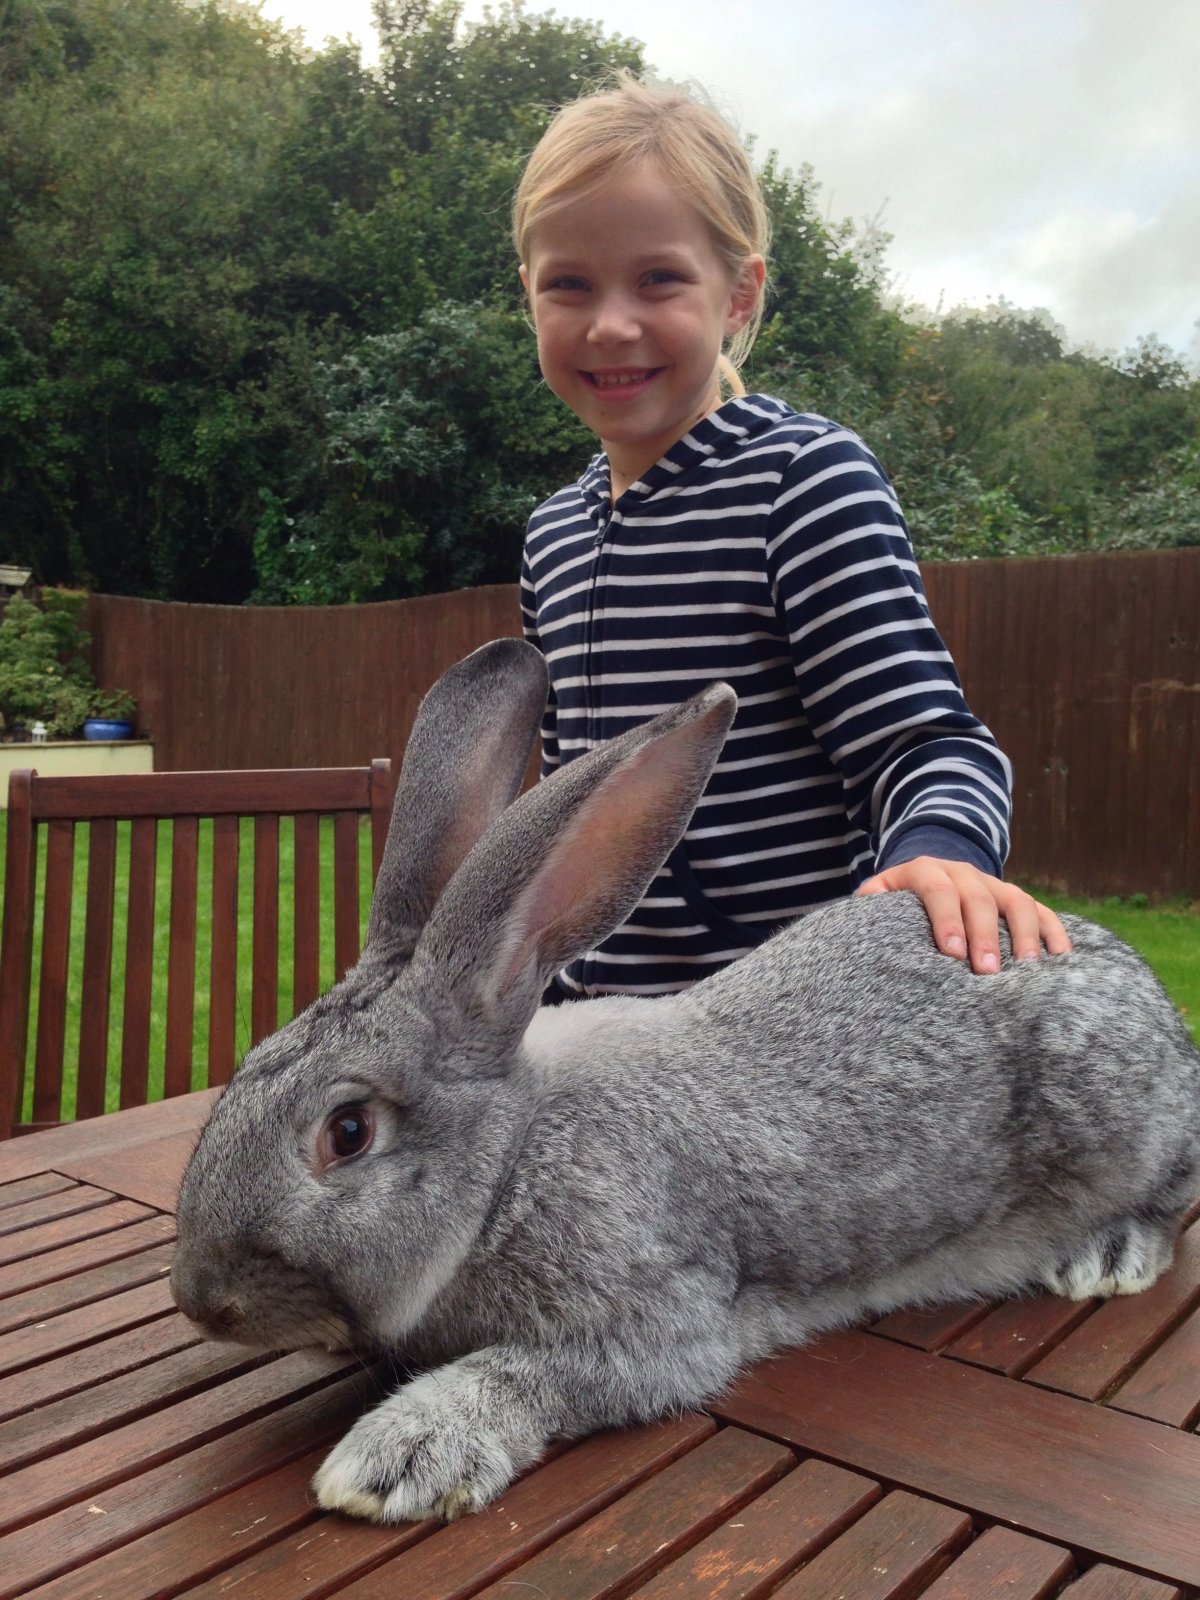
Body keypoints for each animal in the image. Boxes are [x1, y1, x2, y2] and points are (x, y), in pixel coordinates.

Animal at [171, 636, 1200, 1527]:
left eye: (347, 1133)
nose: (202, 1301)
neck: (511, 1164)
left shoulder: (658, 1321)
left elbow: (529, 1376)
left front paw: (392, 1461)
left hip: (1119, 1114)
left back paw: (1103, 1258)